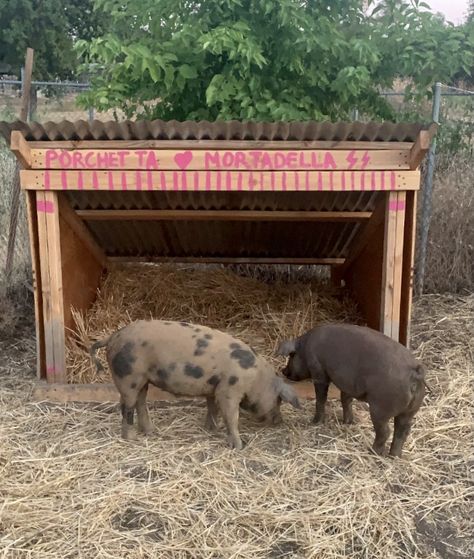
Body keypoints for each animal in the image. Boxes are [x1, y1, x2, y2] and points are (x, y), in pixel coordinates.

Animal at [89, 322, 300, 448]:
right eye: (279, 400)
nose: (279, 421)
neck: (256, 379)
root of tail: (112, 337)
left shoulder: (214, 388)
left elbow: (212, 408)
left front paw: (211, 429)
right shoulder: (229, 390)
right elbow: (231, 416)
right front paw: (239, 446)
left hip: (142, 380)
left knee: (141, 403)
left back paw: (150, 431)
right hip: (128, 377)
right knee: (126, 407)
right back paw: (131, 438)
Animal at [276, 324, 428, 460]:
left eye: (291, 356)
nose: (283, 371)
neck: (305, 346)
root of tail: (415, 372)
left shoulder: (318, 370)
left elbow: (321, 398)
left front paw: (315, 422)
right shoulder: (347, 384)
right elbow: (345, 399)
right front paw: (347, 422)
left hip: (381, 408)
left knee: (385, 431)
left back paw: (372, 452)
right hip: (411, 410)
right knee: (403, 430)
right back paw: (394, 456)